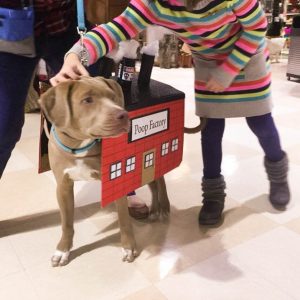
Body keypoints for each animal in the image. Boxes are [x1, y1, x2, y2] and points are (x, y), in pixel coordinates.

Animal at [39, 76, 170, 266]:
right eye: (87, 100)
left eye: (112, 97)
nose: (124, 114)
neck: (80, 147)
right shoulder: (63, 187)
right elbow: (66, 223)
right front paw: (63, 249)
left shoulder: (117, 181)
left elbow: (124, 220)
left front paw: (128, 247)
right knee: (152, 182)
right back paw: (153, 210)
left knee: (160, 179)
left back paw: (164, 208)